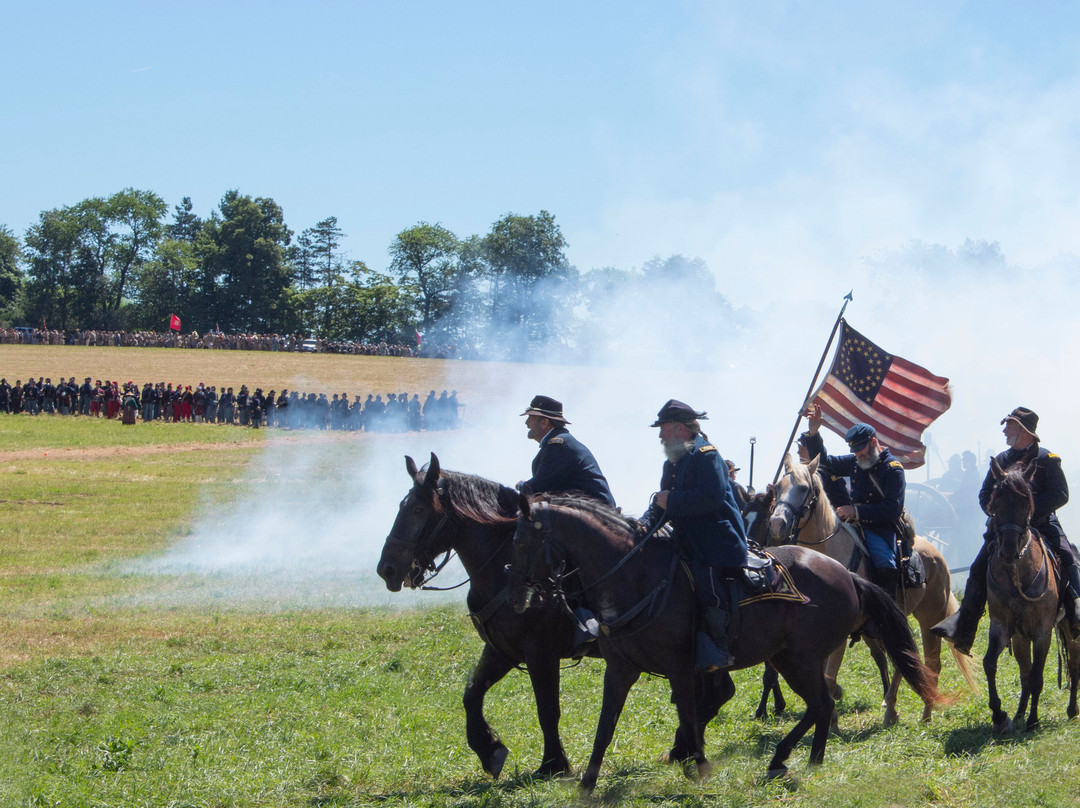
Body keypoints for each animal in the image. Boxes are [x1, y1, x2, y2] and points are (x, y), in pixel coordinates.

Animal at [505, 492, 937, 790]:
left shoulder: (680, 668)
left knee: (821, 702)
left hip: (800, 658)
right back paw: (808, 758)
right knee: (821, 704)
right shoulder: (621, 670)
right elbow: (605, 726)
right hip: (787, 658)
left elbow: (689, 716)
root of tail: (849, 577)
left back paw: (785, 758)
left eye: (523, 542)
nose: (513, 595)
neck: (637, 576)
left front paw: (698, 766)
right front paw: (587, 783)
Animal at [768, 453, 980, 725]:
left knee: (931, 664)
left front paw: (832, 718)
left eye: (804, 488)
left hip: (928, 618)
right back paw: (891, 709)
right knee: (904, 661)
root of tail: (936, 553)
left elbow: (829, 677)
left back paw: (924, 712)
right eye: (778, 487)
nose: (777, 524)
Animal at [984, 460, 1075, 730]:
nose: (1009, 551)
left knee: (1074, 664)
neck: (1017, 576)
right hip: (1020, 638)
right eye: (996, 501)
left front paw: (1033, 720)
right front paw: (1000, 714)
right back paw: (1019, 713)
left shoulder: (1042, 632)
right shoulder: (1002, 627)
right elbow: (990, 663)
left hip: (1070, 629)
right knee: (1024, 672)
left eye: (1026, 502)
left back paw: (1071, 709)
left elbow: (1037, 676)